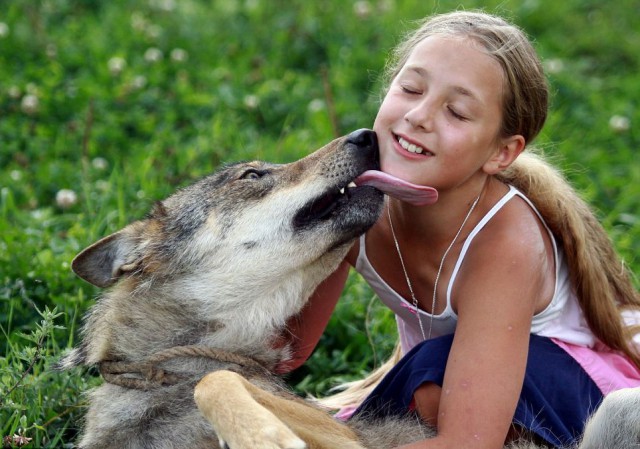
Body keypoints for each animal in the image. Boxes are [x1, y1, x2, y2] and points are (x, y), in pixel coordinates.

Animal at [58, 130, 636, 448]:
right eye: (252, 175)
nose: (367, 135)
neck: (167, 371)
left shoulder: (348, 438)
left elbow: (219, 380)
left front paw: (263, 435)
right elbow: (220, 379)